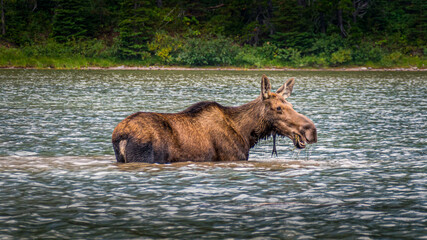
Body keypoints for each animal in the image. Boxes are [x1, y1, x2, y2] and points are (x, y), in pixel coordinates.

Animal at [113, 75, 318, 163]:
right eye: (278, 108)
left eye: (291, 105)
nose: (311, 130)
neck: (247, 135)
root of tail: (119, 136)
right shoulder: (233, 157)